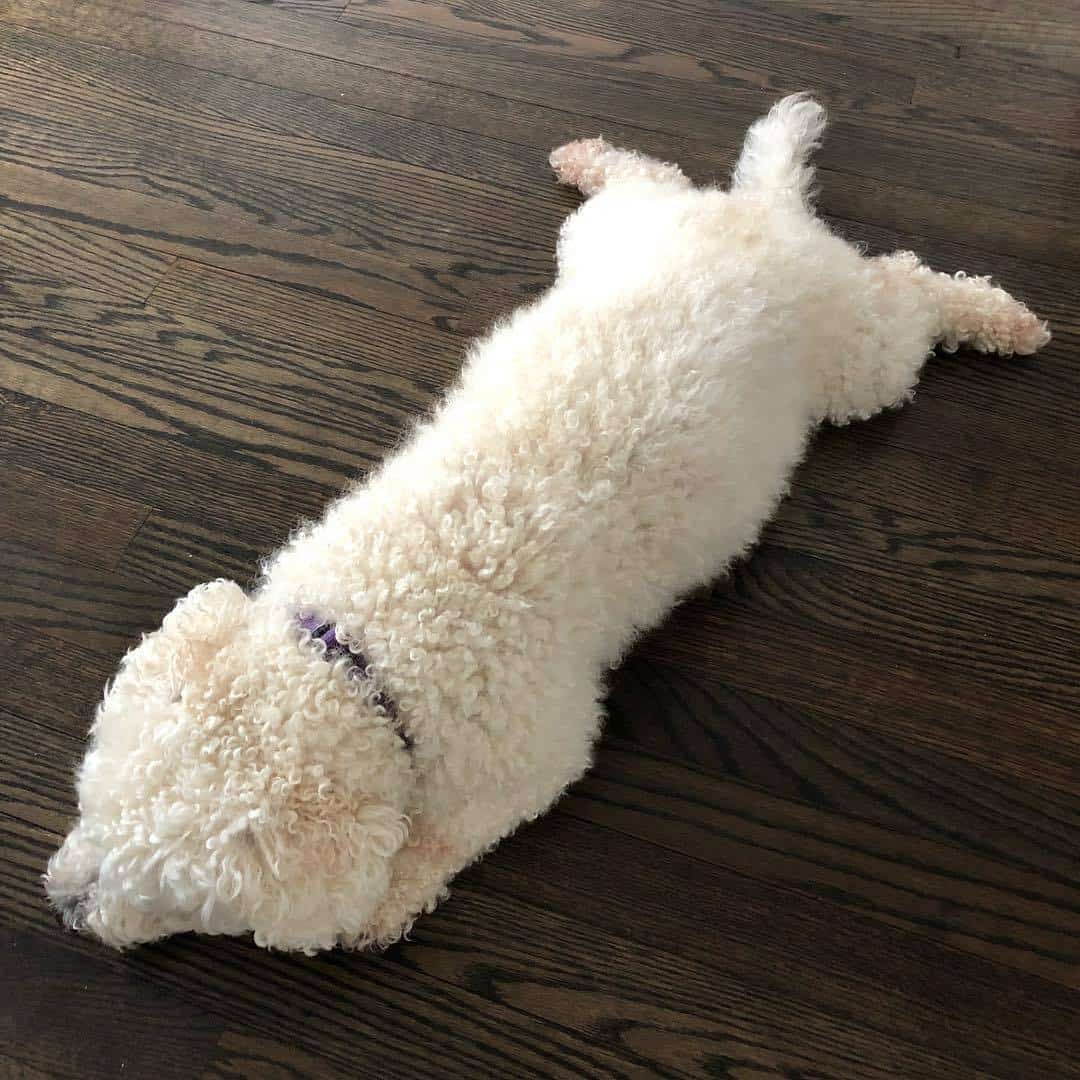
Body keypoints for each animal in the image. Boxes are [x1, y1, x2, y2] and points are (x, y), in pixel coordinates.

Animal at [46, 95, 1049, 954]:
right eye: (90, 806)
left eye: (164, 893)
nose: (61, 902)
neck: (362, 654)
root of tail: (759, 219)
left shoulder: (540, 754)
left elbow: (453, 833)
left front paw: (394, 895)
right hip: (615, 235)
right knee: (651, 173)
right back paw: (589, 157)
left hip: (858, 360)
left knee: (909, 291)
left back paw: (997, 314)